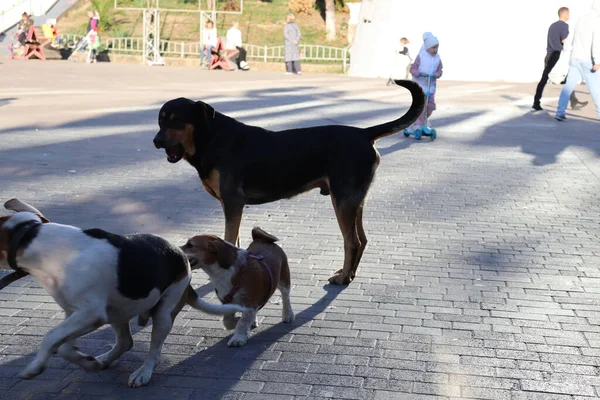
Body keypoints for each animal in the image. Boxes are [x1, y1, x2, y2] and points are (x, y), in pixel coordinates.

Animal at [0, 200, 245, 388]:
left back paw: (143, 372)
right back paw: (105, 360)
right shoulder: (74, 314)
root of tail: (181, 255)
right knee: (126, 341)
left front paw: (34, 367)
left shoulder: (90, 313)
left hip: (163, 314)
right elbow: (64, 346)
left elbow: (50, 337)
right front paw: (87, 362)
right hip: (117, 311)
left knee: (154, 351)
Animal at [155, 79, 426, 284]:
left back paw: (342, 278)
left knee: (352, 241)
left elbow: (230, 238)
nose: (156, 141)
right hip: (355, 200)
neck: (211, 138)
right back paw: (348, 274)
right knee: (362, 239)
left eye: (176, 119)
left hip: (343, 201)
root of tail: (363, 133)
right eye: (160, 120)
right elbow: (235, 240)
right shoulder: (230, 205)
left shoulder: (233, 201)